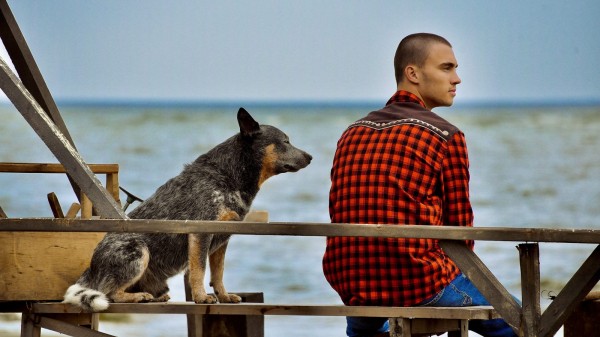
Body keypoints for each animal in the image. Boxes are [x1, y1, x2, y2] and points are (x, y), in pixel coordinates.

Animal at [63, 107, 312, 310]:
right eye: (286, 141)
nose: (310, 156)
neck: (228, 175)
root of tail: (91, 268)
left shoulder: (223, 237)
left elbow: (218, 273)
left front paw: (224, 296)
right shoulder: (200, 232)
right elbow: (199, 271)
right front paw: (202, 297)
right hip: (138, 251)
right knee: (110, 292)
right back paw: (138, 296)